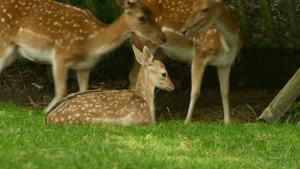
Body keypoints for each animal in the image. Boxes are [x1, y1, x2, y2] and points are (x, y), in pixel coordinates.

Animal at [0, 0, 166, 113]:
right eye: (141, 18)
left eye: (153, 14)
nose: (163, 38)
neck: (91, 43)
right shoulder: (61, 55)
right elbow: (62, 91)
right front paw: (45, 111)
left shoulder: (84, 66)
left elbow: (83, 90)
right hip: (4, 42)